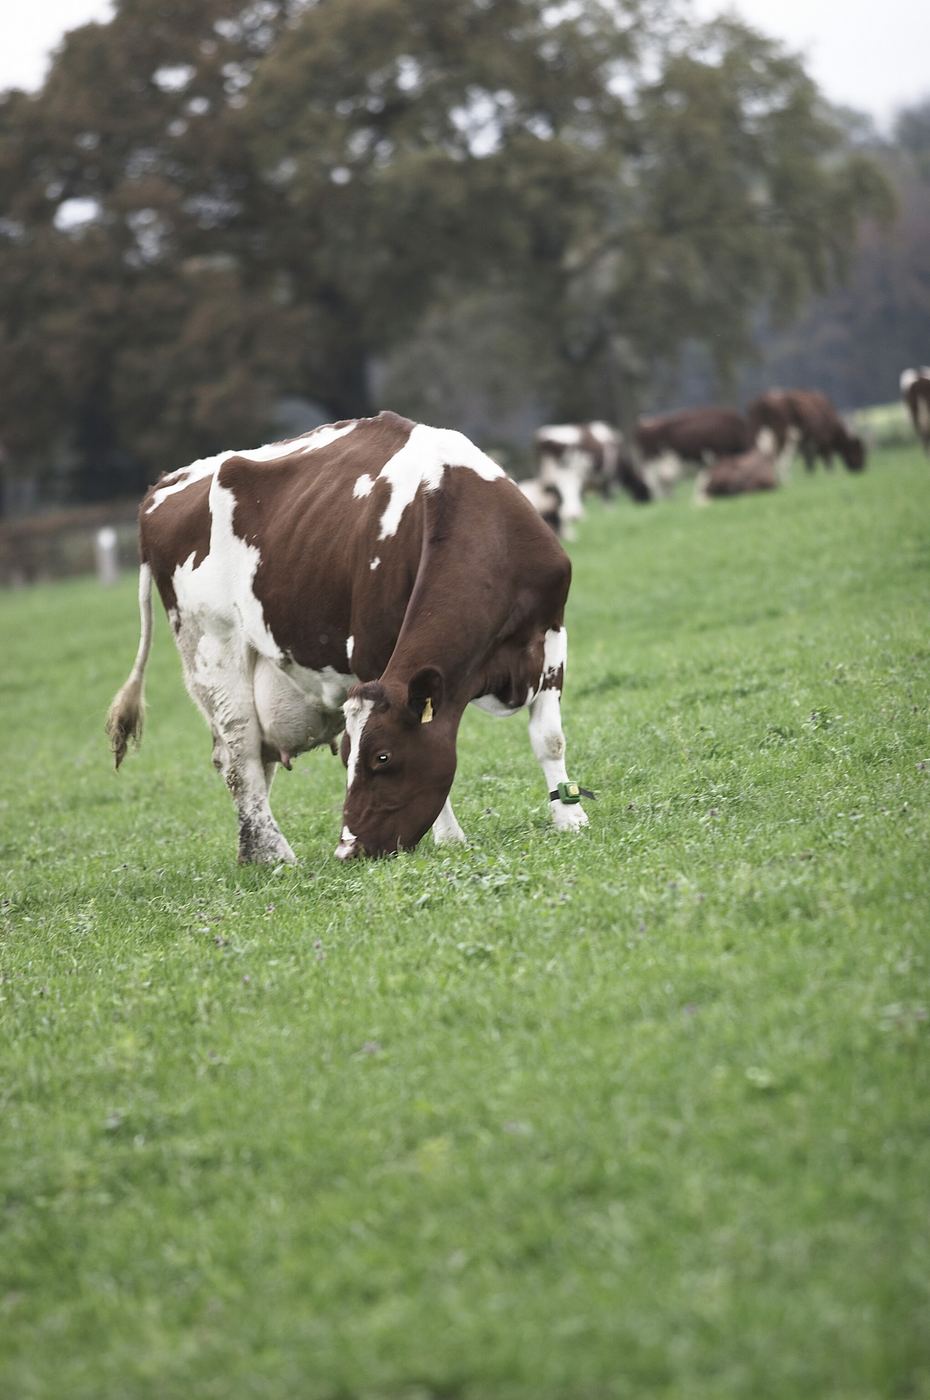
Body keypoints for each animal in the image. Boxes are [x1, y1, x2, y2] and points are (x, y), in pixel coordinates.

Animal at [106, 411, 590, 863]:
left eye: (382, 757)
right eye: (348, 758)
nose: (348, 849)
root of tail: (165, 485)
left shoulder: (551, 636)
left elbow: (549, 738)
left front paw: (570, 818)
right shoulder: (374, 653)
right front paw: (451, 838)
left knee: (253, 759)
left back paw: (254, 856)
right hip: (211, 650)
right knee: (239, 759)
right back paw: (276, 857)